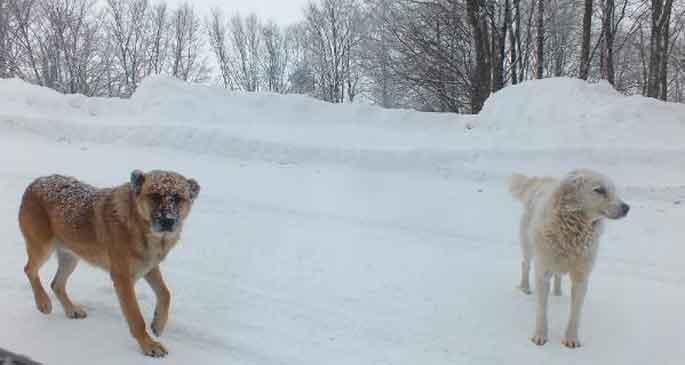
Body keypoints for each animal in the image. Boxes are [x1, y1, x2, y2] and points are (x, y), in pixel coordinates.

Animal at [18, 170, 199, 356]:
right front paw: (148, 345)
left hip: (71, 257)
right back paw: (43, 302)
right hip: (42, 248)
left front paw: (158, 324)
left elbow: (165, 293)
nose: (168, 221)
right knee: (29, 269)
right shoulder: (122, 279)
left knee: (56, 284)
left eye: (178, 198)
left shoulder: (149, 267)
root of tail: (36, 182)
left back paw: (71, 310)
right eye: (154, 196)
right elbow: (136, 318)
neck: (139, 226)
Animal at [510, 168, 628, 346]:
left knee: (558, 275)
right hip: (529, 247)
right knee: (525, 264)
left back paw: (558, 293)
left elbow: (575, 314)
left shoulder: (581, 278)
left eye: (613, 190)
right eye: (599, 190)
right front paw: (540, 335)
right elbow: (542, 310)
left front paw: (571, 339)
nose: (627, 207)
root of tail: (543, 181)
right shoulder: (543, 273)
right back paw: (525, 287)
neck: (572, 230)